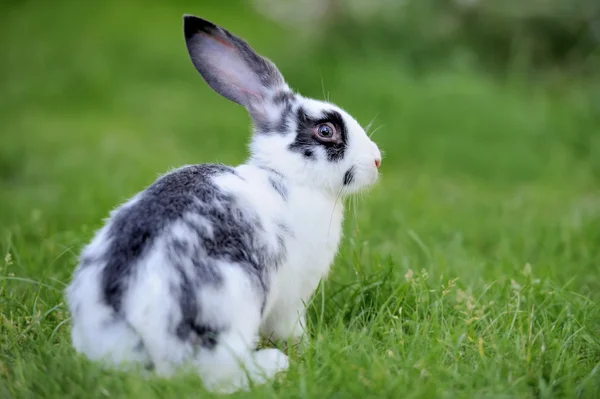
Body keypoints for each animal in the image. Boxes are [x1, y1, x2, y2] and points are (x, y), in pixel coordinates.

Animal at [65, 14, 382, 396]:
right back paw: (273, 364)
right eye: (325, 131)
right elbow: (291, 328)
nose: (377, 161)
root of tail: (126, 338)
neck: (288, 177)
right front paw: (304, 348)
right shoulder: (293, 298)